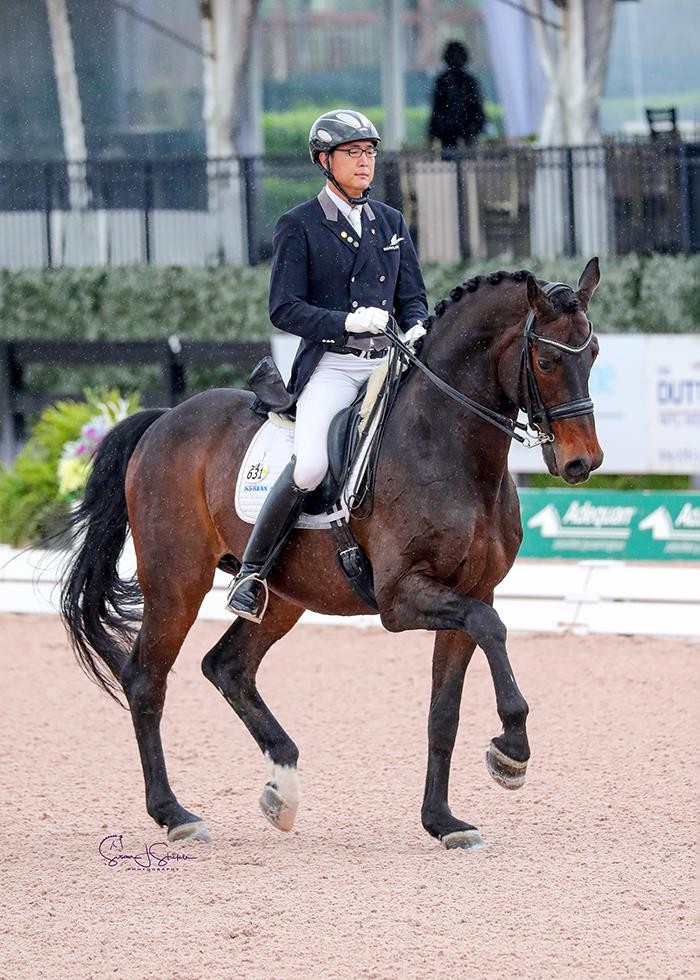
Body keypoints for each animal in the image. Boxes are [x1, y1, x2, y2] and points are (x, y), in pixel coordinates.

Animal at [61, 258, 600, 848]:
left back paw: (282, 791)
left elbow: (445, 712)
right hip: (177, 582)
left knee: (227, 666)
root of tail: (163, 419)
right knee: (146, 681)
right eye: (546, 360)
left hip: (282, 596)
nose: (583, 463)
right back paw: (175, 814)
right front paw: (512, 753)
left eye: (593, 353)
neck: (448, 444)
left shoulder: (472, 590)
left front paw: (442, 821)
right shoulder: (401, 598)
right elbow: (492, 628)